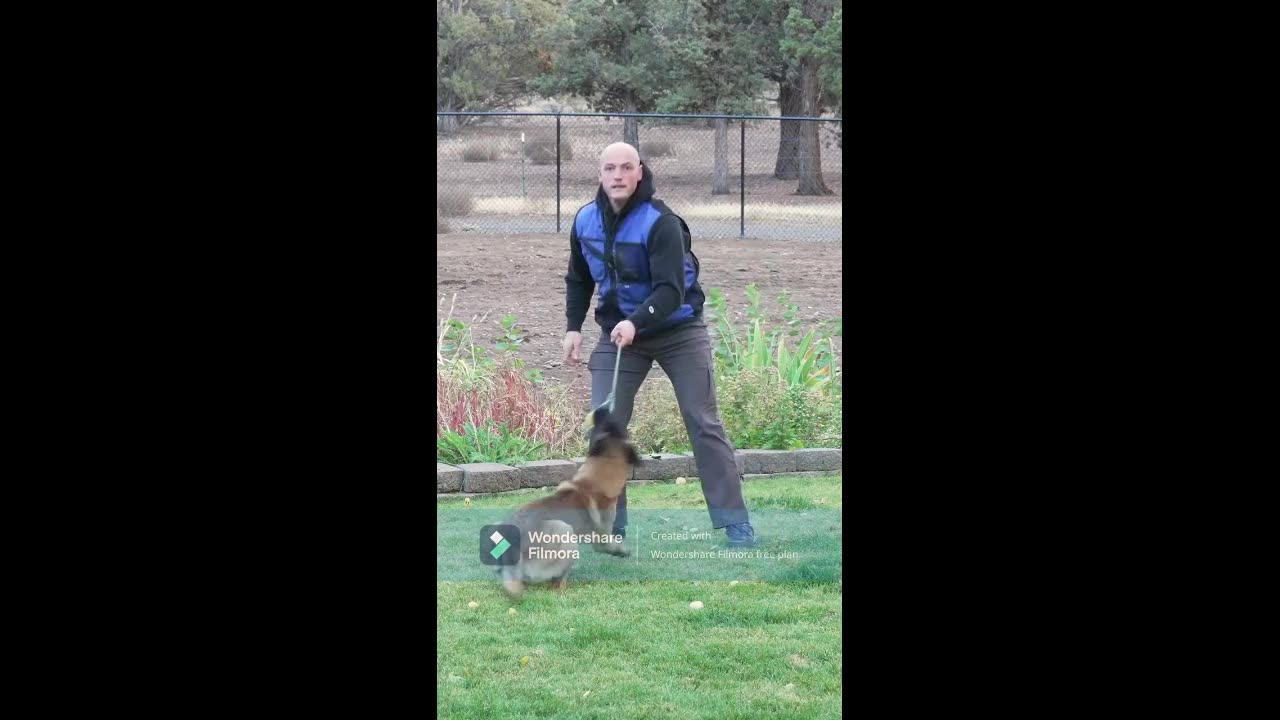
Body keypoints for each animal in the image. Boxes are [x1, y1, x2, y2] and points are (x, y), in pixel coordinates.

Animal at [499, 407, 640, 597]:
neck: (592, 480)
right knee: (557, 580)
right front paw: (623, 551)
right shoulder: (602, 536)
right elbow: (610, 545)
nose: (606, 412)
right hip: (565, 532)